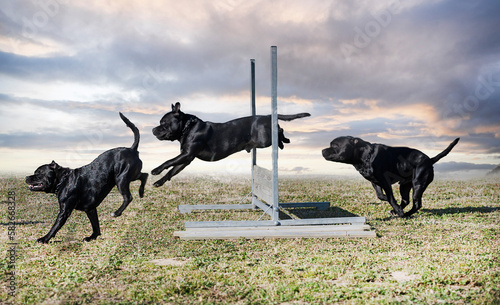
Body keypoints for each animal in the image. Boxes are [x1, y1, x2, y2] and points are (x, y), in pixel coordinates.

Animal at [25, 111, 147, 242]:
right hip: (131, 175)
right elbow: (95, 225)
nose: (26, 177)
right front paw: (92, 237)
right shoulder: (90, 209)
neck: (63, 180)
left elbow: (55, 227)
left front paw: (44, 239)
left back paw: (117, 212)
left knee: (128, 197)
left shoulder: (64, 211)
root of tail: (132, 149)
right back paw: (141, 192)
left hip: (121, 179)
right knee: (144, 175)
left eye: (38, 173)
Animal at [150, 102, 310, 185]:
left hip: (265, 140)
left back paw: (284, 142)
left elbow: (168, 161)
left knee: (280, 130)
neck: (187, 127)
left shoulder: (187, 154)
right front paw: (160, 181)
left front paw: (156, 170)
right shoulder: (186, 158)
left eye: (163, 123)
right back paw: (283, 143)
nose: (153, 129)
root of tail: (267, 116)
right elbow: (172, 170)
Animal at [322, 135, 458, 216]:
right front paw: (395, 206)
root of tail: (430, 159)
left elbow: (390, 197)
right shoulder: (375, 182)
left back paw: (405, 214)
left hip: (418, 184)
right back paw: (398, 210)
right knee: (406, 200)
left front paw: (397, 208)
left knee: (417, 203)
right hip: (404, 185)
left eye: (334, 145)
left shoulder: (385, 181)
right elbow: (381, 196)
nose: (322, 150)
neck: (365, 155)